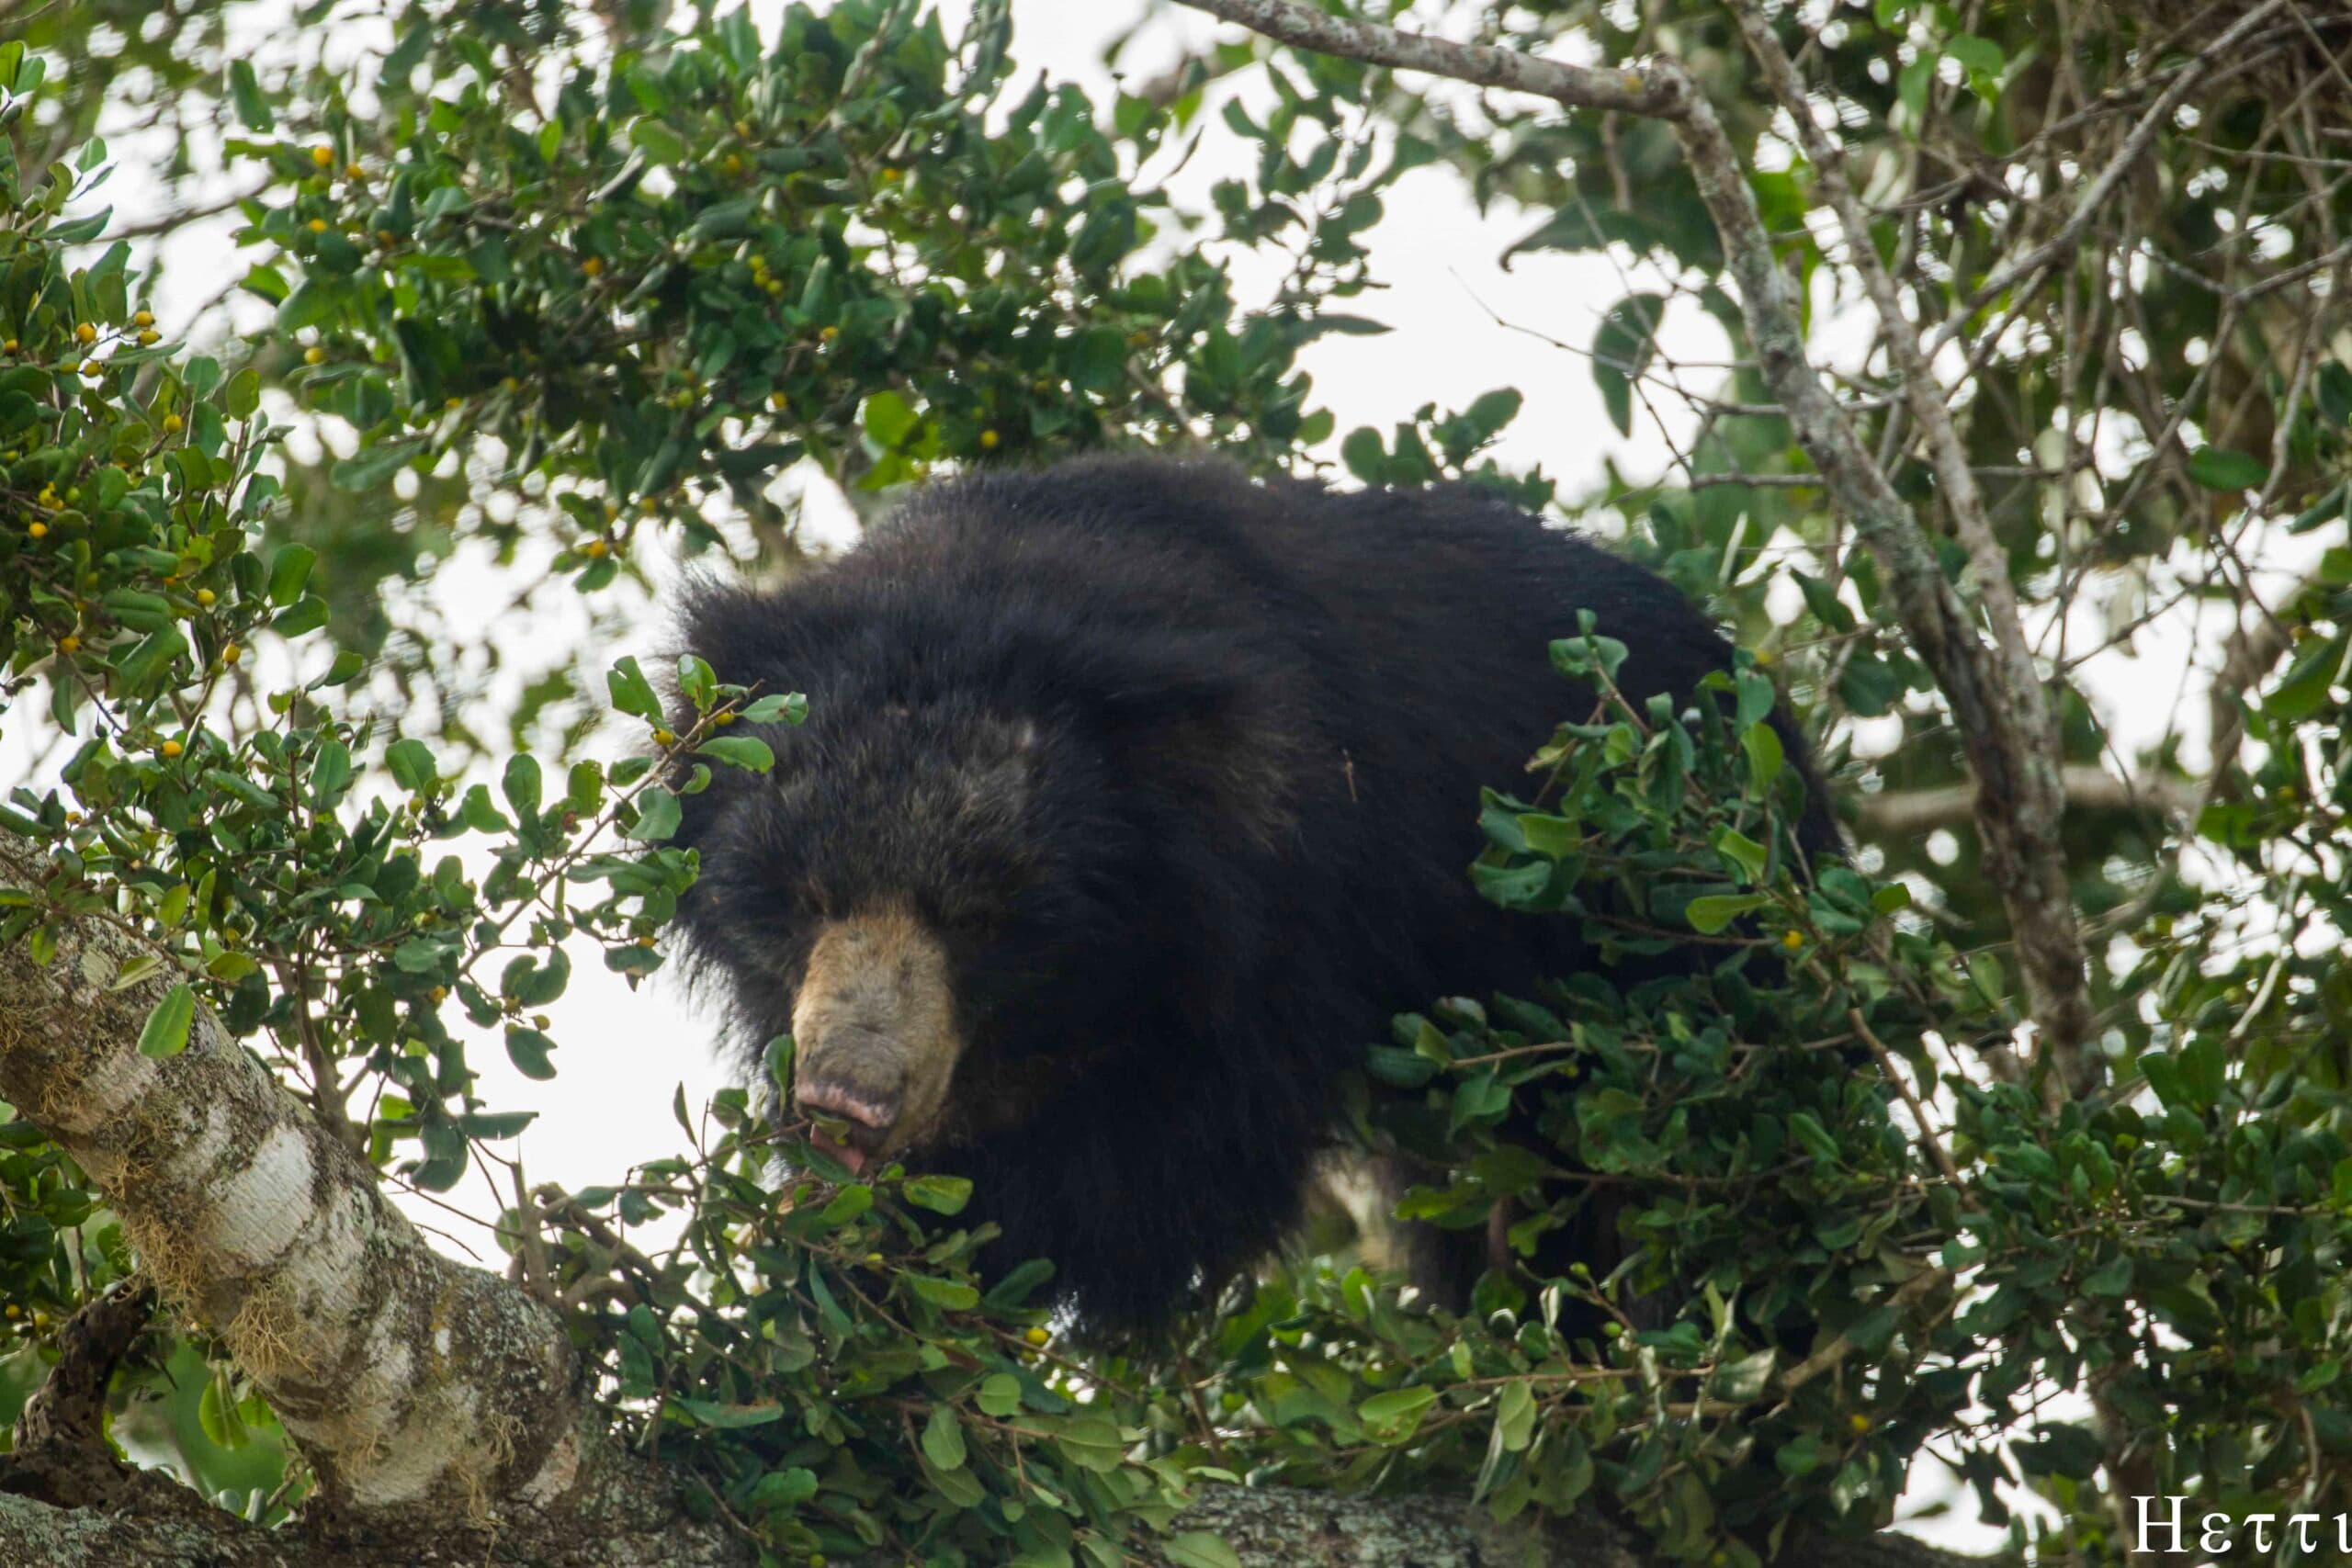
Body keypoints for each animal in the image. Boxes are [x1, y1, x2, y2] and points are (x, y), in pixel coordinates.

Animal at [671, 454, 1834, 1333]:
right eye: (807, 899)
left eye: (979, 919)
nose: (846, 1100)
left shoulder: (1284, 912)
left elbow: (1178, 1165)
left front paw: (953, 1245)